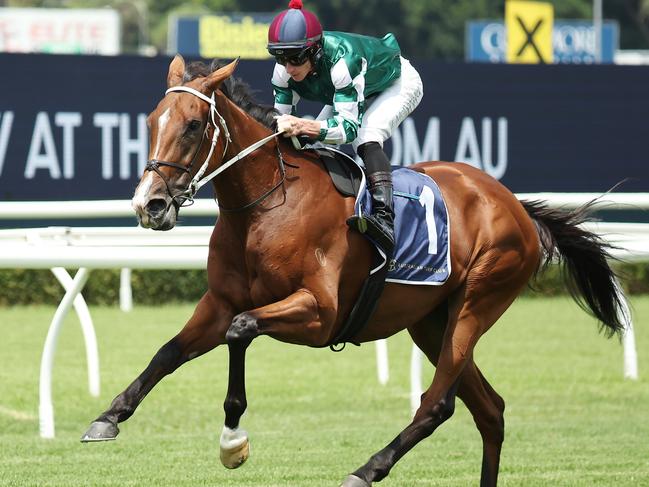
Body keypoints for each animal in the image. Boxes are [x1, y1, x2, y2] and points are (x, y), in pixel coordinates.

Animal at [81, 55, 624, 486]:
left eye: (193, 125)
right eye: (152, 121)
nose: (149, 205)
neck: (268, 205)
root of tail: (515, 205)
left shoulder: (320, 314)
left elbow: (241, 330)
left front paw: (233, 441)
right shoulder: (220, 302)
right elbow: (169, 351)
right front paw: (108, 417)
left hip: (477, 302)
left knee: (439, 403)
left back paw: (366, 469)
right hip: (431, 320)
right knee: (490, 411)